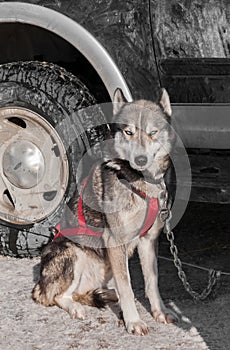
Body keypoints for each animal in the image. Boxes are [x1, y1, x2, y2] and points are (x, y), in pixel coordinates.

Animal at [32, 87, 176, 334]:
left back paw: (106, 293)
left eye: (153, 133)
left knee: (85, 291)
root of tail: (40, 282)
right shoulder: (115, 241)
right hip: (72, 252)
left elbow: (152, 283)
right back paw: (76, 307)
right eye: (128, 132)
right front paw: (133, 321)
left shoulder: (148, 241)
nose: (140, 159)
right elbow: (127, 286)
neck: (136, 180)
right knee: (57, 296)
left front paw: (159, 311)